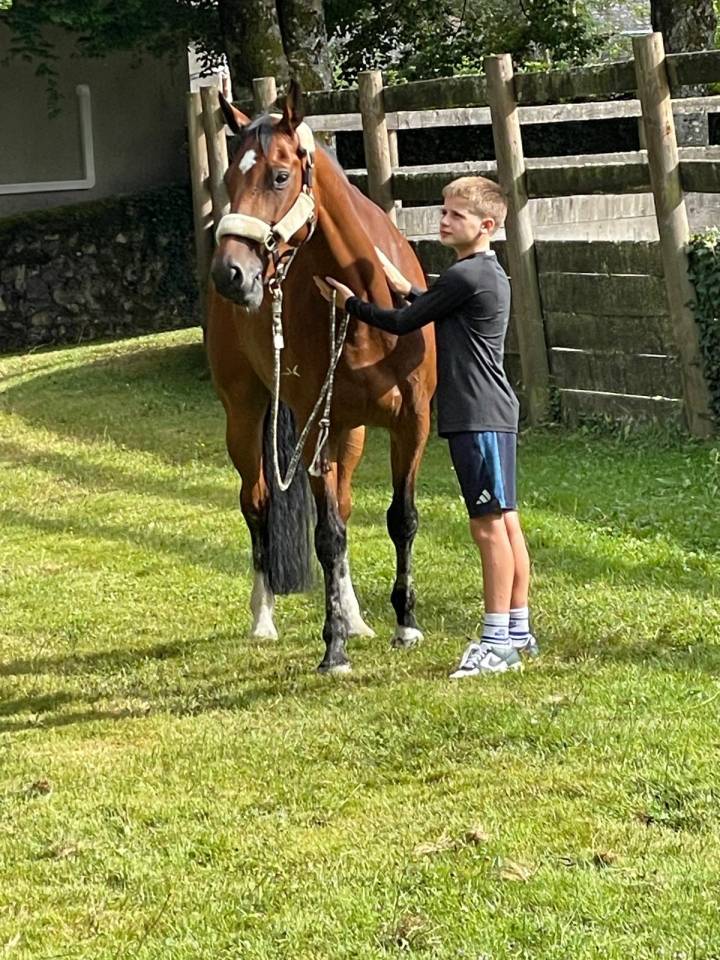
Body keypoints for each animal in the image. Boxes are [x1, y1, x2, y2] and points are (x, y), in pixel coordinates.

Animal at [206, 81, 436, 674]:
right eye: (229, 180)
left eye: (279, 176)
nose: (231, 274)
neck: (368, 305)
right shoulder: (316, 436)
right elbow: (327, 536)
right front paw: (332, 648)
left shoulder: (413, 425)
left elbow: (401, 519)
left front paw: (405, 623)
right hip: (244, 417)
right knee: (257, 503)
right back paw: (264, 617)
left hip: (349, 433)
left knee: (348, 509)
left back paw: (355, 617)